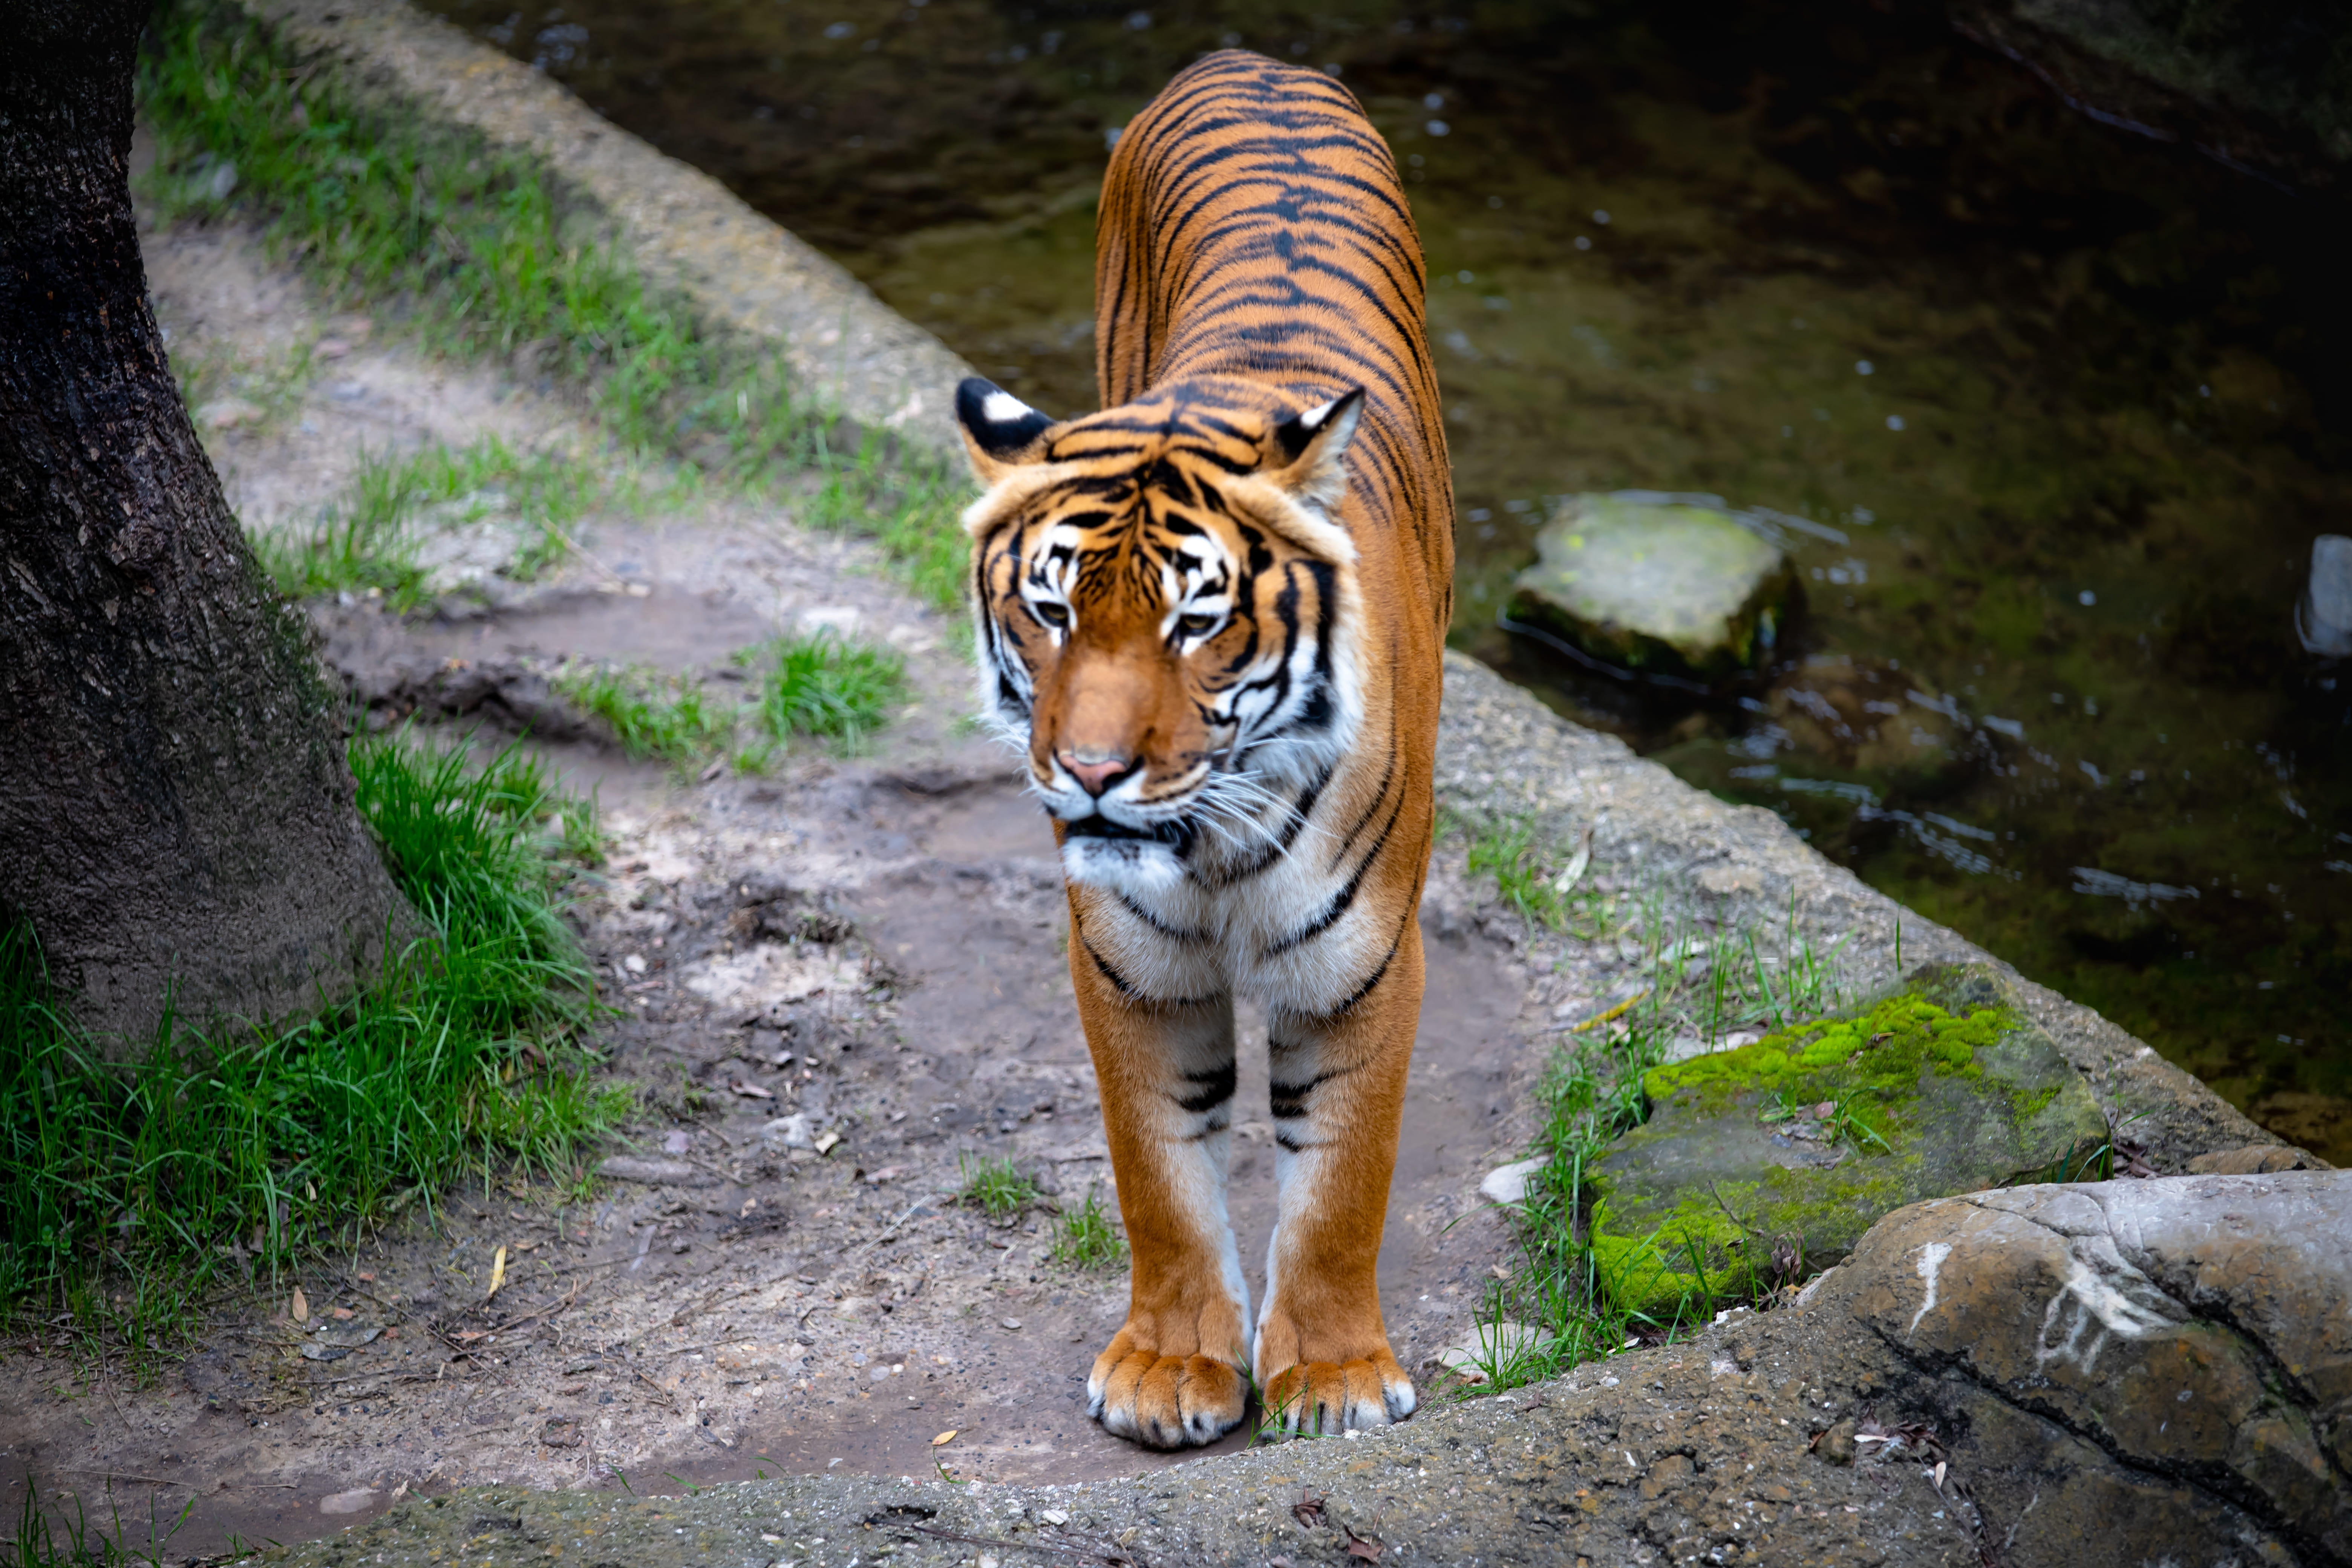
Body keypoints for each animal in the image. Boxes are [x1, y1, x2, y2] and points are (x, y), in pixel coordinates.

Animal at [952, 48, 1454, 1449]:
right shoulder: (1128, 962)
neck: (1210, 844)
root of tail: (1251, 60)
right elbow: (1159, 1172)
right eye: (1053, 610)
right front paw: (1173, 1366)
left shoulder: (1360, 965)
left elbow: (1340, 1183)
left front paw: (1333, 1378)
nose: (1091, 774)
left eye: (1196, 621)